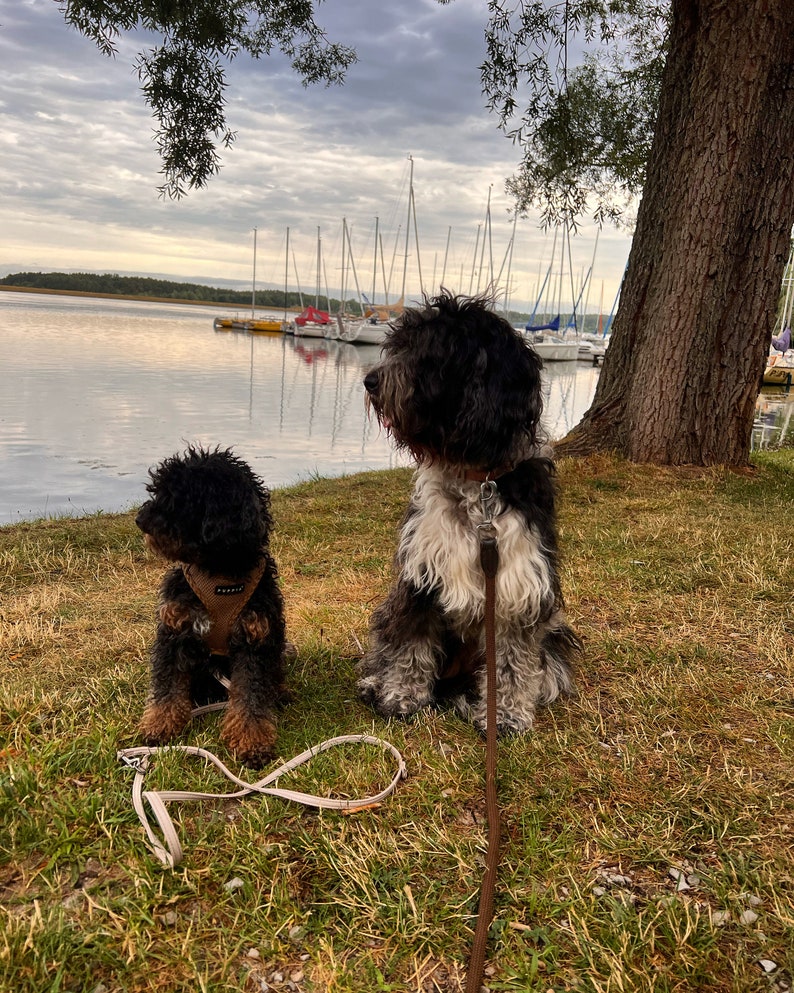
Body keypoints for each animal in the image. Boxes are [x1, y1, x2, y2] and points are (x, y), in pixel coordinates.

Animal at [135, 446, 286, 764]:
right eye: (158, 491)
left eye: (179, 498)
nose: (140, 520)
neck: (218, 575)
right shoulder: (174, 631)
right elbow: (167, 685)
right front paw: (159, 726)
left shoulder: (254, 639)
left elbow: (251, 695)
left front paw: (251, 741)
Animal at [356, 290, 580, 732]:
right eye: (399, 345)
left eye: (429, 354)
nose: (371, 380)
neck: (476, 479)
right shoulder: (420, 576)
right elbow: (411, 644)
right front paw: (401, 696)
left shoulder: (519, 585)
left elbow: (512, 661)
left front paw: (505, 714)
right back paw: (375, 682)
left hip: (555, 634)